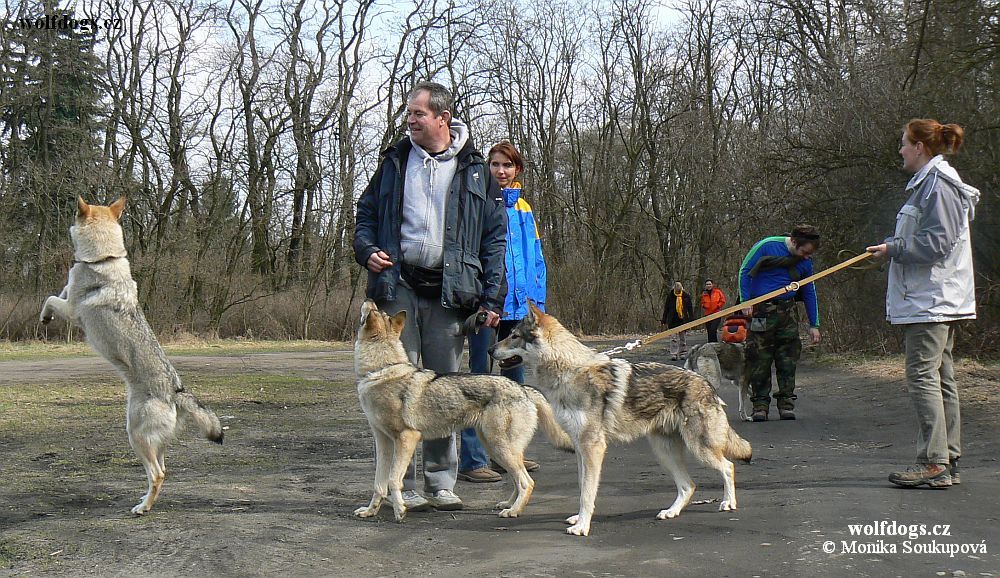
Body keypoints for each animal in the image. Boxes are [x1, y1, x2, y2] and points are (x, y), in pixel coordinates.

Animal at [40, 198, 223, 512]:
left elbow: (49, 298)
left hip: (135, 436)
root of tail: (176, 391)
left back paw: (143, 509)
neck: (104, 258)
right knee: (162, 470)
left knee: (158, 474)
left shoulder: (72, 310)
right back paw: (144, 500)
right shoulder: (68, 291)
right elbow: (58, 291)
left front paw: (44, 316)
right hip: (152, 442)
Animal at [352, 300, 572, 520]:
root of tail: (523, 388)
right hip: (495, 447)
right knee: (518, 481)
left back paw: (513, 511)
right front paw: (370, 511)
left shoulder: (407, 438)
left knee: (527, 482)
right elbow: (379, 484)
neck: (380, 370)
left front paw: (400, 511)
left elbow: (392, 480)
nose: (370, 299)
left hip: (500, 447)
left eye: (372, 311)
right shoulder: (384, 442)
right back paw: (508, 504)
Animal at [492, 302, 752, 536]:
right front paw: (578, 518)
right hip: (664, 452)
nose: (490, 350)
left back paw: (728, 503)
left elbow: (587, 493)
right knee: (689, 486)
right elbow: (582, 486)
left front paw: (582, 526)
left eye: (514, 336)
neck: (569, 371)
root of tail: (706, 384)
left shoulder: (593, 447)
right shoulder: (580, 448)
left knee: (727, 467)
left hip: (700, 449)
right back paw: (671, 512)